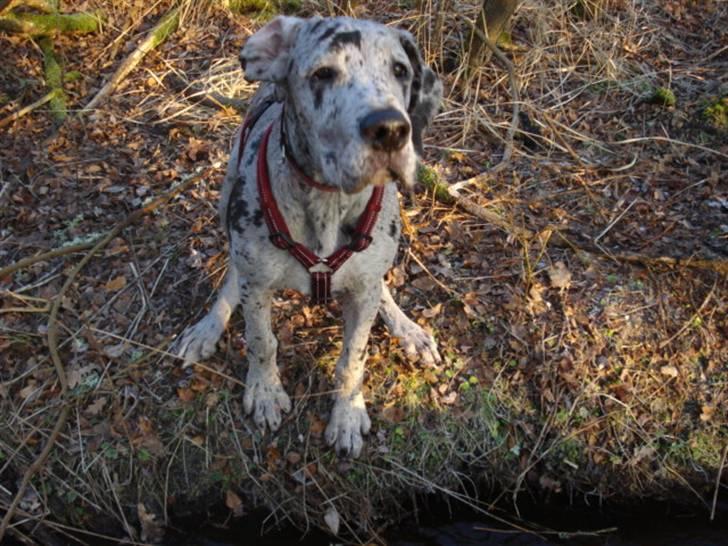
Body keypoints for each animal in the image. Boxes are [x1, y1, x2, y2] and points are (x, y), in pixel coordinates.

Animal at [176, 14, 444, 454]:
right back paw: (208, 327)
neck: (327, 203)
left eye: (400, 70)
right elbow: (262, 342)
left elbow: (353, 357)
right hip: (226, 197)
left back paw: (408, 328)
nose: (389, 129)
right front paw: (265, 392)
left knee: (379, 287)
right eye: (323, 73)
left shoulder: (363, 294)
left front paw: (348, 414)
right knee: (233, 275)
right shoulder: (258, 286)